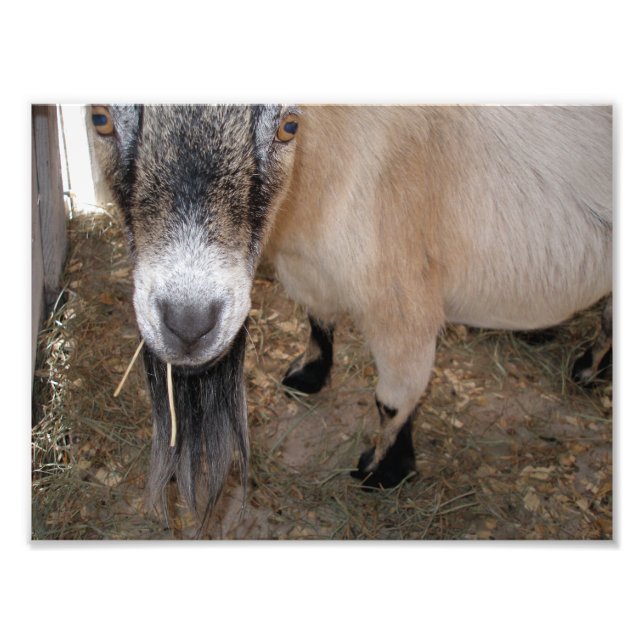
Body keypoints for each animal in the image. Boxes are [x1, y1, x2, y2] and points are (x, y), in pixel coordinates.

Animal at [90, 105, 612, 517]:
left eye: (288, 125)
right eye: (100, 118)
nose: (189, 323)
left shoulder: (401, 302)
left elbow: (395, 399)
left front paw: (384, 469)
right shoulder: (309, 267)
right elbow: (318, 319)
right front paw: (309, 374)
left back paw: (587, 368)